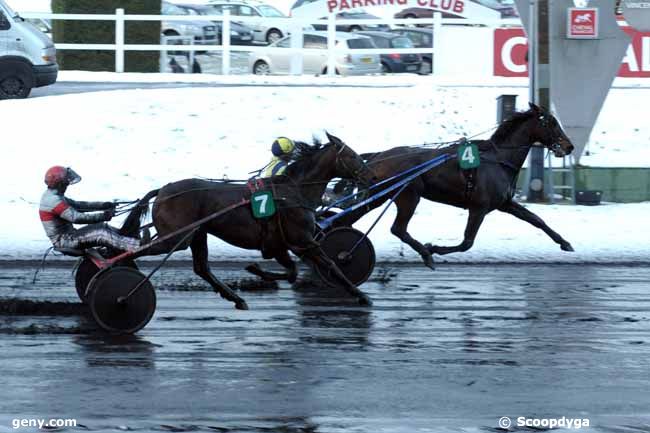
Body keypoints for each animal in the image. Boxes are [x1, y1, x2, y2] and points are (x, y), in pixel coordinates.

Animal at [119, 132, 378, 308]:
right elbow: (325, 265)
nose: (373, 176)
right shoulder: (298, 241)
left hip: (198, 234)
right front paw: (362, 295)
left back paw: (235, 298)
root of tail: (163, 190)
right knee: (138, 248)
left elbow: (298, 271)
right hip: (179, 237)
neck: (293, 191)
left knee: (201, 268)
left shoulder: (287, 245)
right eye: (352, 156)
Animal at [330, 103, 572, 268]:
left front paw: (564, 243)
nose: (569, 146)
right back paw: (425, 254)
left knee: (350, 218)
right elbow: (467, 243)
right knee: (397, 228)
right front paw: (433, 248)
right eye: (551, 123)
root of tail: (378, 156)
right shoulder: (479, 208)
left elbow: (537, 220)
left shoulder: (505, 203)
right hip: (408, 195)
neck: (498, 159)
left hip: (379, 195)